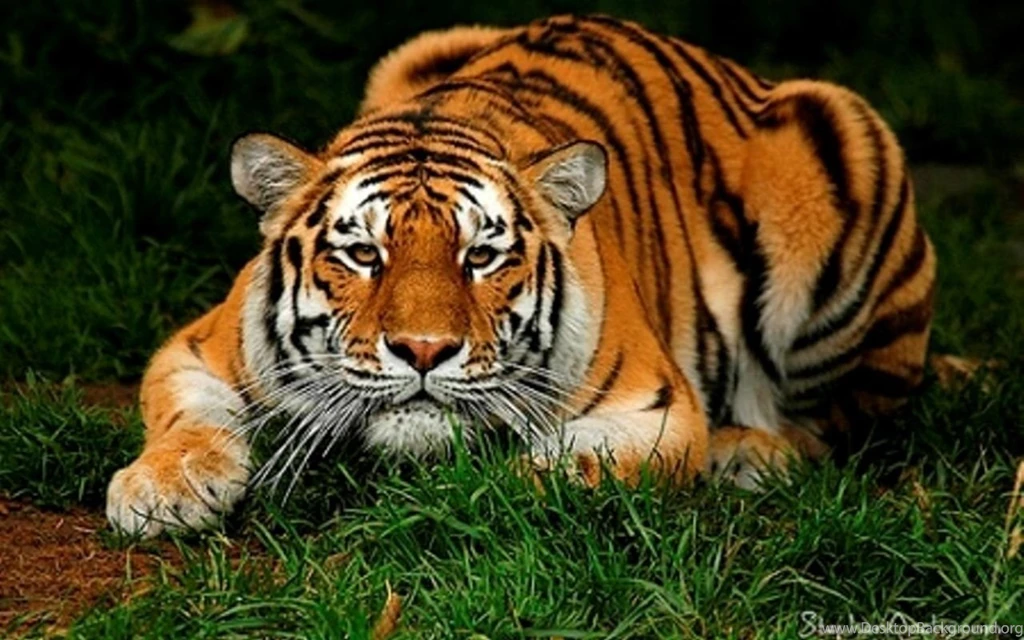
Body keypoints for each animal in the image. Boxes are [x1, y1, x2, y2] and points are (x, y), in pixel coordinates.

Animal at [106, 15, 935, 537]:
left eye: (481, 256)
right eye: (364, 254)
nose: (424, 351)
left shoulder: (656, 410)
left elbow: (562, 470)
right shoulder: (196, 347)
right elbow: (187, 417)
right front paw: (159, 490)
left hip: (841, 143)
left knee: (842, 424)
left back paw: (748, 454)